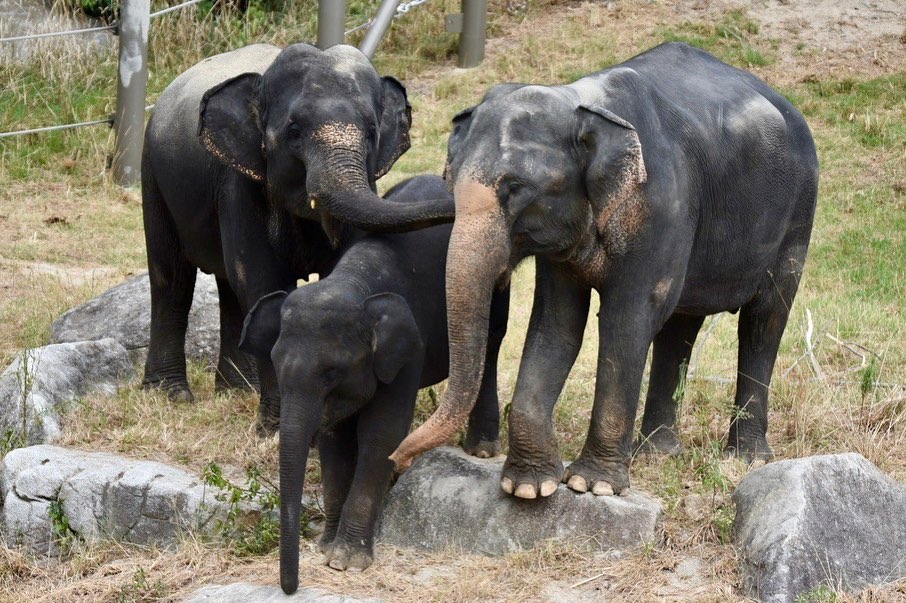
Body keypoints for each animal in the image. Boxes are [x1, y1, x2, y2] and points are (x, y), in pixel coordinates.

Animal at [141, 42, 452, 432]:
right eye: (294, 130)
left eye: (371, 131)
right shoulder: (239, 183)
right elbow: (262, 280)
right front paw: (273, 428)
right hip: (153, 175)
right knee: (171, 279)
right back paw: (170, 394)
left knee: (228, 288)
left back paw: (238, 391)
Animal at [238, 175, 508, 596]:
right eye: (277, 366)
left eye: (333, 373)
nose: (290, 587)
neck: (353, 280)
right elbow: (334, 439)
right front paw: (327, 547)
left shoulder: (410, 346)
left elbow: (382, 434)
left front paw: (346, 561)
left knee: (490, 347)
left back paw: (480, 450)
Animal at [390, 40, 820, 498]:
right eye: (449, 183)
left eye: (515, 188)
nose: (397, 461)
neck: (579, 100)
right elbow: (557, 323)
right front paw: (529, 487)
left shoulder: (662, 207)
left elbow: (625, 320)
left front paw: (590, 485)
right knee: (680, 326)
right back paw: (657, 453)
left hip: (799, 212)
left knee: (764, 321)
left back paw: (746, 458)